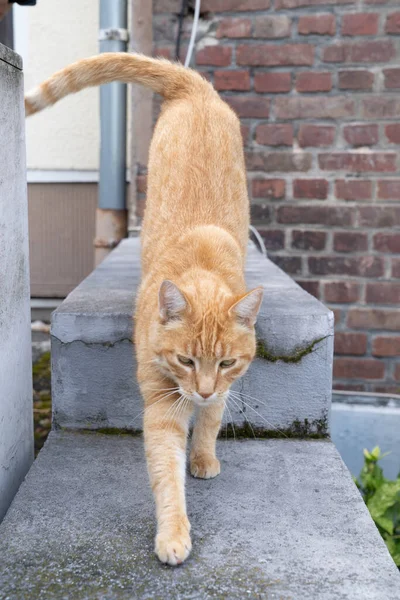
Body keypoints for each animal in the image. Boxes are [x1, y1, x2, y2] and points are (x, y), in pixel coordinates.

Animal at [25, 52, 262, 568]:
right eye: (186, 360)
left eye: (226, 363)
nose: (205, 390)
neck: (201, 259)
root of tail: (195, 87)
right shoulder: (160, 405)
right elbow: (167, 475)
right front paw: (173, 534)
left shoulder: (225, 389)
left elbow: (210, 423)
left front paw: (204, 458)